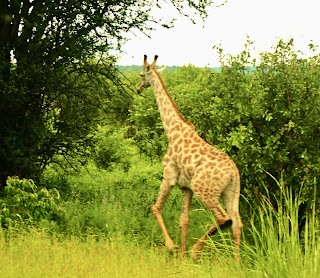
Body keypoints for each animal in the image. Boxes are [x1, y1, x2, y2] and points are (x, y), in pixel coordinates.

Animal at [136, 54, 242, 262]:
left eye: (142, 74)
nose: (137, 88)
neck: (171, 130)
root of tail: (234, 173)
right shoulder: (186, 187)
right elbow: (184, 220)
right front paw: (182, 256)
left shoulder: (169, 177)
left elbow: (155, 208)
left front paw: (173, 247)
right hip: (231, 193)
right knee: (237, 222)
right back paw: (236, 262)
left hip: (205, 191)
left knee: (223, 218)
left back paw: (196, 250)